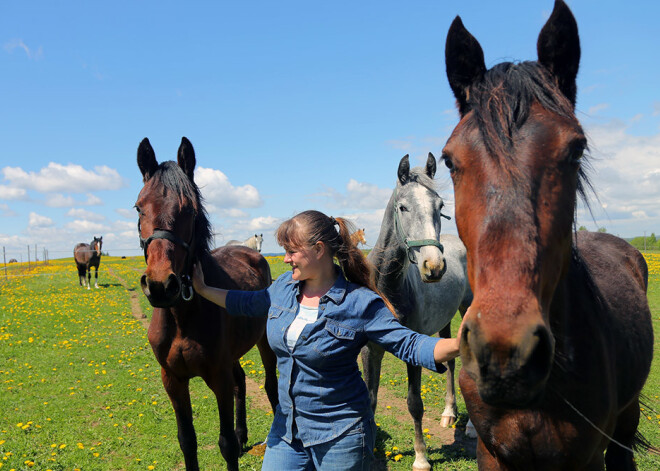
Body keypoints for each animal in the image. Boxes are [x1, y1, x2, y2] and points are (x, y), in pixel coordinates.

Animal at [134, 136, 278, 471]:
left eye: (189, 209)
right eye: (139, 207)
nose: (161, 285)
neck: (182, 317)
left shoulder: (218, 378)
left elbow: (224, 444)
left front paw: (233, 441)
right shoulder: (173, 381)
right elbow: (187, 440)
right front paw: (235, 437)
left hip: (263, 343)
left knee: (270, 386)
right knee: (242, 381)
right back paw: (242, 434)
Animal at [440, 1, 652, 470]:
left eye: (575, 148)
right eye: (449, 160)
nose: (505, 352)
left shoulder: (586, 458)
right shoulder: (491, 454)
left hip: (625, 422)